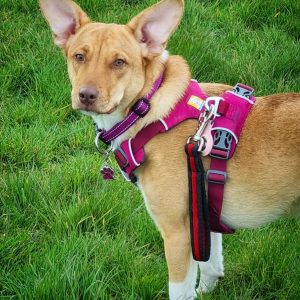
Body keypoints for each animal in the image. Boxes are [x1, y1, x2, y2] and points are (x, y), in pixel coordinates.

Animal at [40, 0, 300, 298]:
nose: (86, 95)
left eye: (119, 62)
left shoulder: (177, 234)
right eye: (79, 56)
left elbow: (180, 290)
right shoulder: (203, 218)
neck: (148, 111)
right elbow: (210, 265)